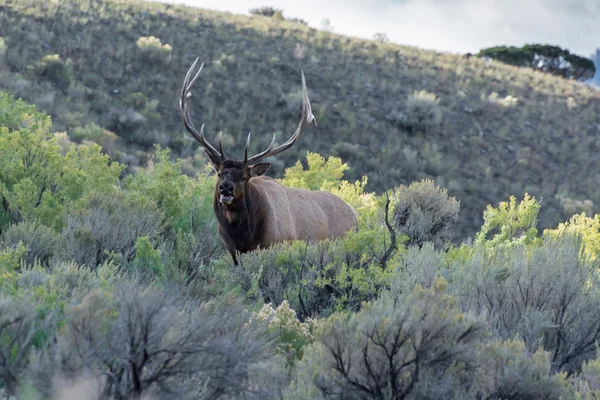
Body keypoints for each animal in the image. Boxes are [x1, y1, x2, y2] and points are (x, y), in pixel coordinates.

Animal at [178, 58, 356, 266]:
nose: (226, 188)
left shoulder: (275, 244)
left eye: (244, 177)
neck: (244, 237)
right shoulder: (232, 252)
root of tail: (356, 215)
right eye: (219, 173)